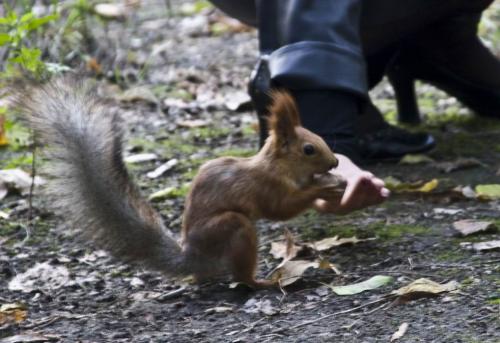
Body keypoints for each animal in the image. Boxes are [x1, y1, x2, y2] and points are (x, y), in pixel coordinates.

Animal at [14, 76, 344, 288]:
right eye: (309, 149)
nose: (335, 163)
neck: (278, 166)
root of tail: (192, 258)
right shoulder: (266, 186)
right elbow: (281, 208)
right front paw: (326, 186)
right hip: (231, 228)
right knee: (241, 276)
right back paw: (264, 282)